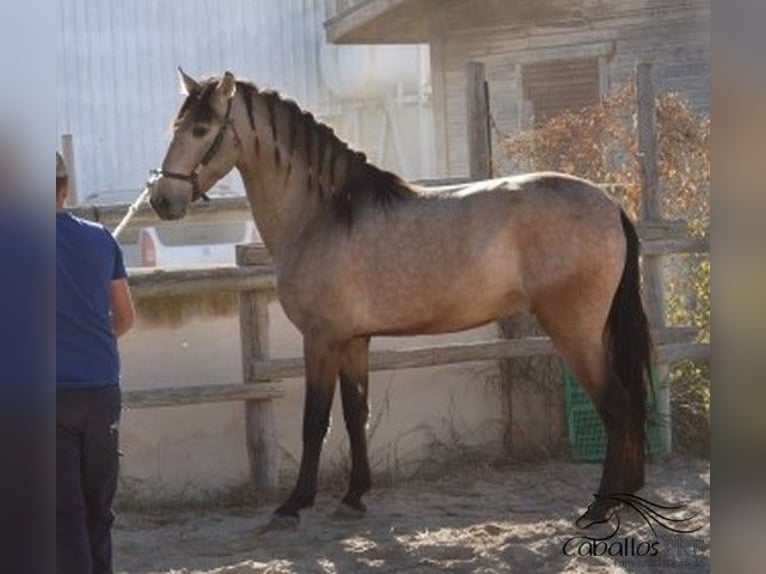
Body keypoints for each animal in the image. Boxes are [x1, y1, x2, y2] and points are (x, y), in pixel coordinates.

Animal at [148, 70, 656, 532]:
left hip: (575, 332)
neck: (325, 214)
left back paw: (600, 509)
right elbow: (356, 416)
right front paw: (353, 497)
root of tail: (610, 204)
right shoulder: (354, 341)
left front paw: (292, 506)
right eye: (176, 125)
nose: (161, 200)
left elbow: (315, 421)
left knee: (616, 406)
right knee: (628, 406)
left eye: (201, 129)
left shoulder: (322, 339)